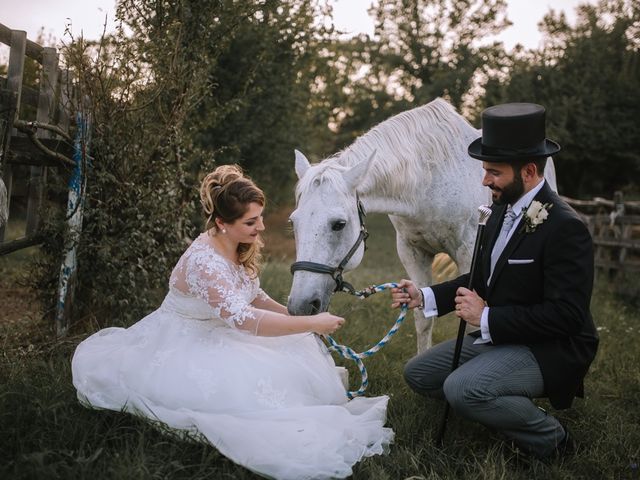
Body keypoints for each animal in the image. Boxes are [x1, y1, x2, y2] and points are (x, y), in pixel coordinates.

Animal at [288, 98, 556, 352]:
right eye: (293, 223)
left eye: (339, 224)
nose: (300, 307)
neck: (428, 179)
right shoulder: (412, 253)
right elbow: (423, 316)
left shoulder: (469, 256)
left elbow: (471, 322)